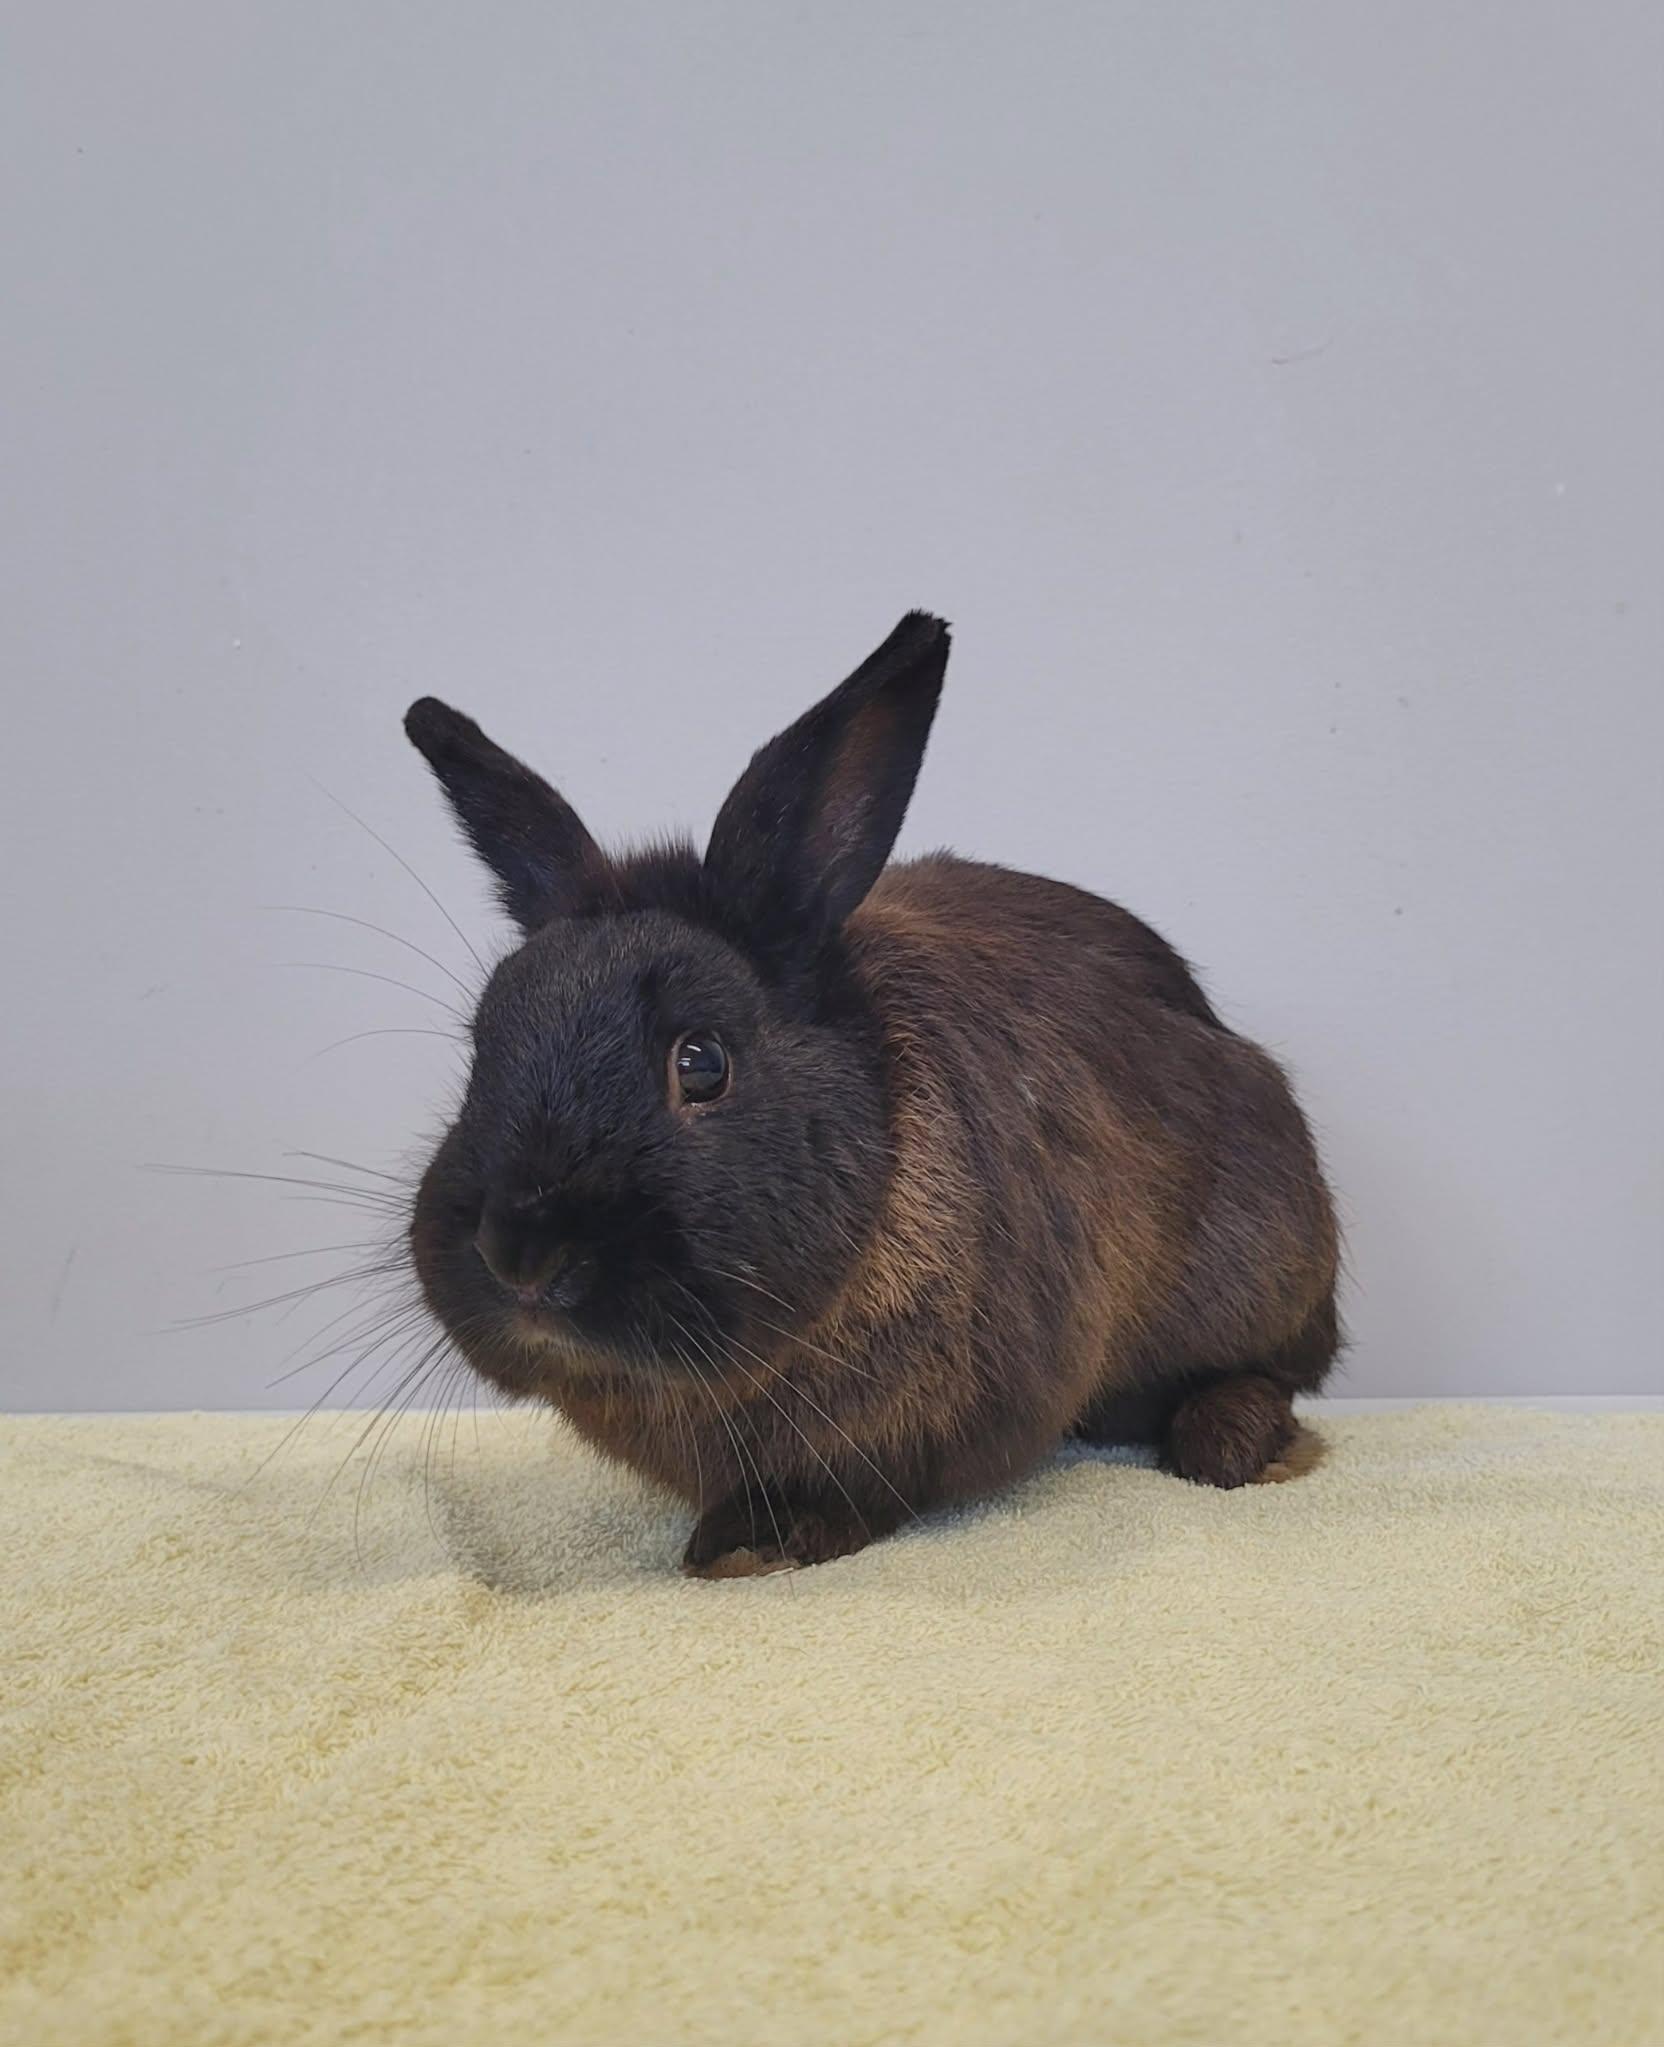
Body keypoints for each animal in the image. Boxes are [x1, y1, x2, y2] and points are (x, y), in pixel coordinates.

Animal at [404, 612, 1341, 1577]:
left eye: (701, 1062)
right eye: (482, 1044)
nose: (519, 1254)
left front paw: (756, 1544)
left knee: (1274, 1370)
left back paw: (1231, 1444)